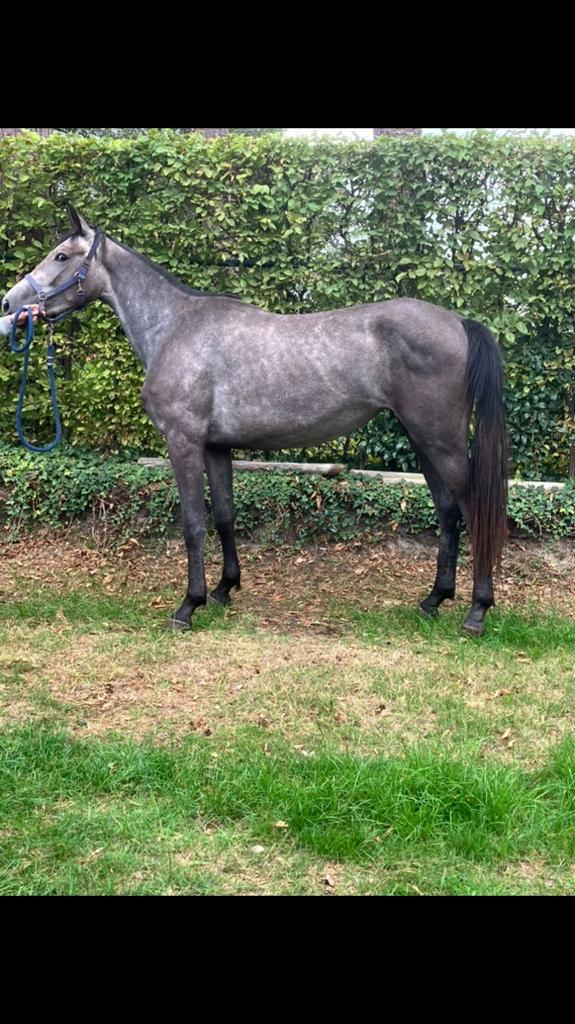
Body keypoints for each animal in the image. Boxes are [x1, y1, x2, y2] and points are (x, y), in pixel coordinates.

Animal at [2, 207, 508, 636]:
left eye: (61, 256)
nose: (9, 305)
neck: (176, 328)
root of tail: (459, 322)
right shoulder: (216, 447)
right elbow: (225, 515)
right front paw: (224, 589)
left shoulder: (183, 442)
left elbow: (193, 522)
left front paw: (188, 605)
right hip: (424, 443)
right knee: (448, 514)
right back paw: (434, 600)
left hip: (440, 441)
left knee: (472, 510)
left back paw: (476, 612)